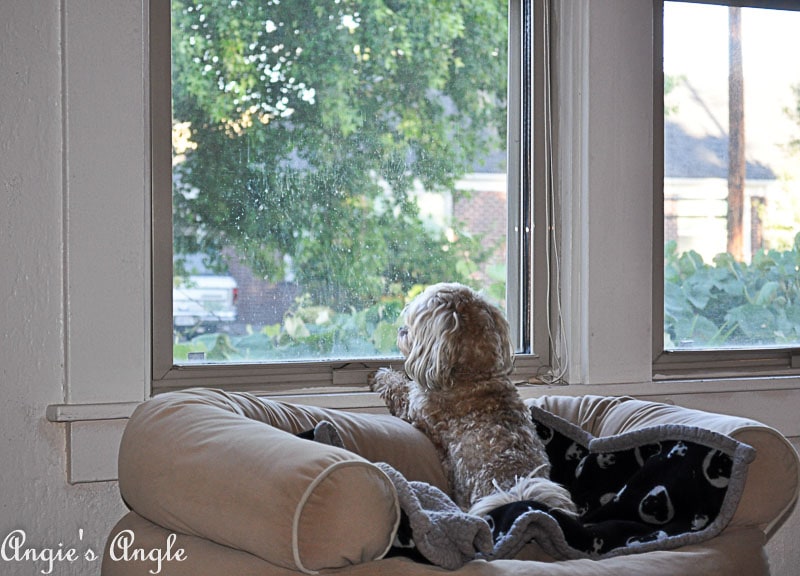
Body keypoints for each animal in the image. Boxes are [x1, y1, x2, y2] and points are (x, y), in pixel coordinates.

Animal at [368, 284, 576, 516]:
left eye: (415, 322)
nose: (401, 330)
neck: (474, 374)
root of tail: (516, 493)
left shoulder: (417, 409)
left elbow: (400, 390)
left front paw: (382, 376)